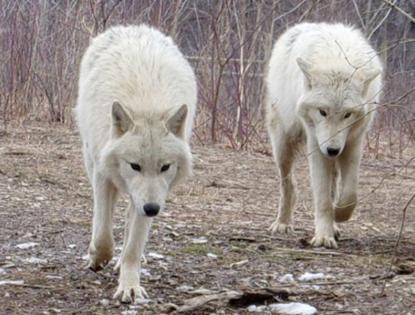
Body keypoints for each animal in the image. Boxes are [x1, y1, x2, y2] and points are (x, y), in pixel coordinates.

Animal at [76, 25, 198, 304]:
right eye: (134, 165)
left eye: (165, 167)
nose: (152, 209)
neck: (147, 105)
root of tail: (134, 27)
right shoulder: (102, 176)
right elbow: (103, 235)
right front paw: (96, 258)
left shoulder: (154, 195)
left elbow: (133, 244)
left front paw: (129, 286)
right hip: (91, 162)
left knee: (130, 217)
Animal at [266, 22, 384, 249]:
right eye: (322, 111)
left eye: (347, 114)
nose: (332, 149)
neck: (337, 57)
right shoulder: (316, 144)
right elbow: (322, 199)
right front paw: (323, 237)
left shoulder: (353, 143)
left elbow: (349, 194)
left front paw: (338, 215)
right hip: (282, 144)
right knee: (287, 184)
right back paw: (283, 223)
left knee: (333, 184)